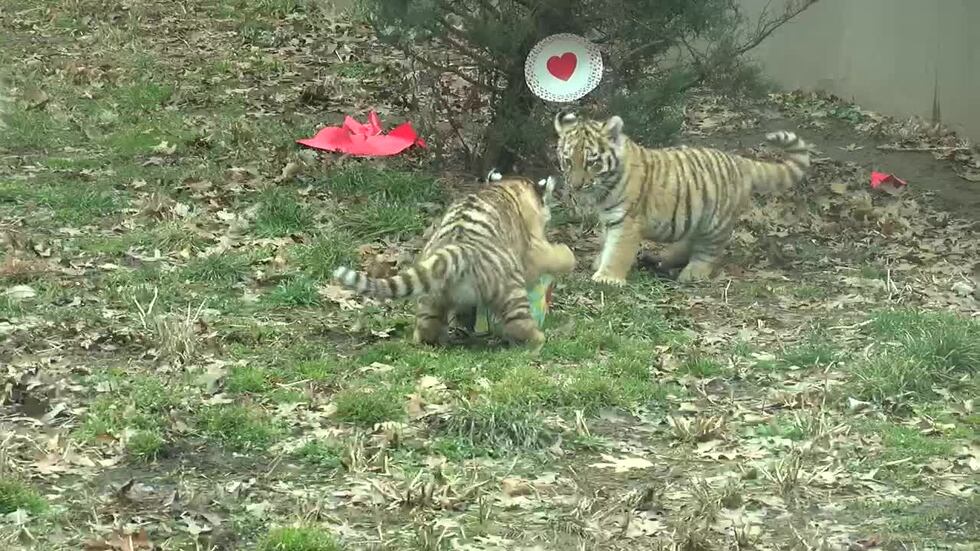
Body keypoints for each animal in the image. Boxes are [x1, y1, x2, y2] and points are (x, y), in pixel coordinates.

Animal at [332, 171, 576, 349]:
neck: (510, 185)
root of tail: (458, 247)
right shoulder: (533, 245)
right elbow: (551, 255)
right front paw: (567, 256)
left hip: (431, 296)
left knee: (429, 324)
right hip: (510, 291)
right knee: (519, 323)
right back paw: (538, 339)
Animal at [553, 111, 811, 285]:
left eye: (592, 163)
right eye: (568, 161)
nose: (575, 186)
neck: (605, 188)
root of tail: (739, 161)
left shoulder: (627, 222)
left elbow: (618, 251)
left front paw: (607, 277)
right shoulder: (610, 219)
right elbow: (607, 243)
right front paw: (599, 262)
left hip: (715, 224)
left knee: (709, 251)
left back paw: (692, 273)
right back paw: (664, 259)